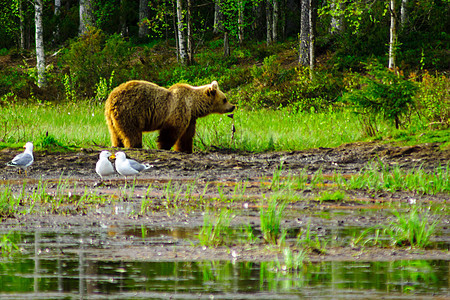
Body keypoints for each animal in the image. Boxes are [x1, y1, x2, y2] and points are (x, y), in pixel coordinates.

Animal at [104, 80, 236, 152]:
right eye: (225, 99)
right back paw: (135, 146)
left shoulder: (190, 118)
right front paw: (163, 146)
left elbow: (186, 136)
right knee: (132, 133)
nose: (233, 106)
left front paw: (186, 149)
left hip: (111, 118)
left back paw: (117, 145)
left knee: (115, 133)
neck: (193, 106)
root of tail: (111, 98)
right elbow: (170, 132)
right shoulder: (178, 109)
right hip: (130, 111)